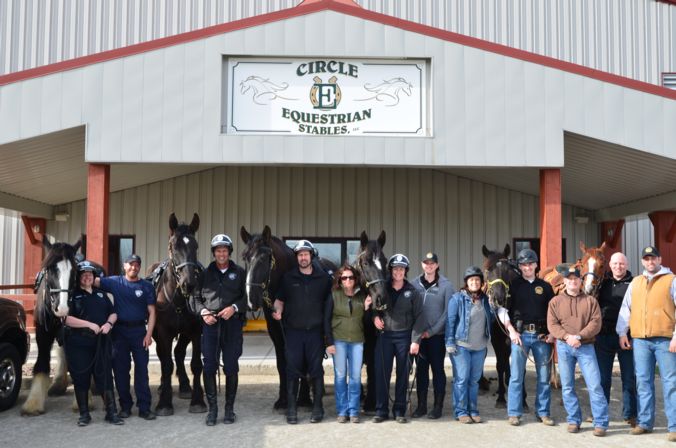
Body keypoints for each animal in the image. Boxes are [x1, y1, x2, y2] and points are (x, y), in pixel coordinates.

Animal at [21, 238, 80, 416]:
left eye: (74, 270)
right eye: (49, 269)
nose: (62, 308)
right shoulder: (42, 334)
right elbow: (41, 362)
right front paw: (33, 403)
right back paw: (58, 384)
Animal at [151, 214, 206, 416]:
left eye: (195, 246)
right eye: (173, 247)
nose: (188, 284)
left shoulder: (196, 331)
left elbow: (196, 364)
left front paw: (198, 401)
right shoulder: (164, 332)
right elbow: (166, 364)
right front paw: (164, 403)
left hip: (185, 333)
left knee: (180, 352)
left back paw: (184, 386)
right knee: (164, 356)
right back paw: (162, 387)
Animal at [480, 245, 528, 410]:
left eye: (507, 270)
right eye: (487, 270)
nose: (498, 298)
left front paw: (523, 399)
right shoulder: (496, 339)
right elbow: (500, 365)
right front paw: (500, 398)